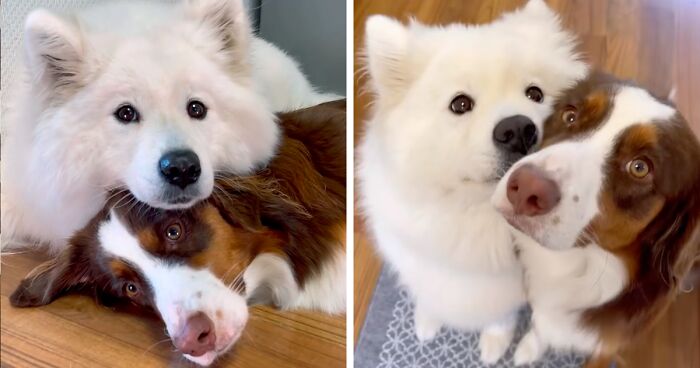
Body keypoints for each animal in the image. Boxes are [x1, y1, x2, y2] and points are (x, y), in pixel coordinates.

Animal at [358, 0, 588, 362]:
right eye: (460, 104)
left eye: (535, 94)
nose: (518, 129)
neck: (482, 222)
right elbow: (430, 295)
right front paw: (427, 322)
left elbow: (501, 316)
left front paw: (494, 344)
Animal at [492, 73, 700, 366]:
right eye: (570, 115)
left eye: (640, 167)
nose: (525, 189)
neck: (580, 265)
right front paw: (531, 346)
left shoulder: (607, 347)